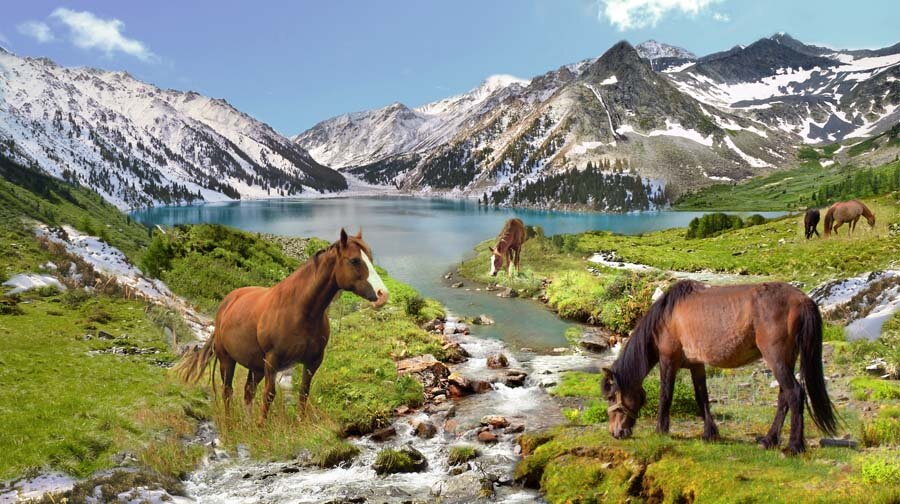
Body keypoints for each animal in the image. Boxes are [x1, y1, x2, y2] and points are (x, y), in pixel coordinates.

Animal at [175, 229, 389, 422]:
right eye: (354, 260)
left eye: (370, 258)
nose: (383, 294)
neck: (300, 311)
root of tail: (227, 303)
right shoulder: (272, 360)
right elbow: (269, 395)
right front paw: (262, 426)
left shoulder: (313, 361)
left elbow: (304, 392)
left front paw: (299, 423)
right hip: (228, 359)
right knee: (228, 391)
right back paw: (231, 423)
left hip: (256, 366)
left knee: (248, 391)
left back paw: (248, 425)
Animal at [600, 280, 837, 455]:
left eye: (611, 397)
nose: (616, 432)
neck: (667, 317)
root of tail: (803, 299)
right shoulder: (696, 364)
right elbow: (702, 396)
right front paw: (709, 433)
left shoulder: (668, 360)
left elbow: (665, 395)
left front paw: (661, 430)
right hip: (786, 360)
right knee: (784, 398)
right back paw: (769, 440)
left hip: (776, 358)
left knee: (795, 393)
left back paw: (794, 446)